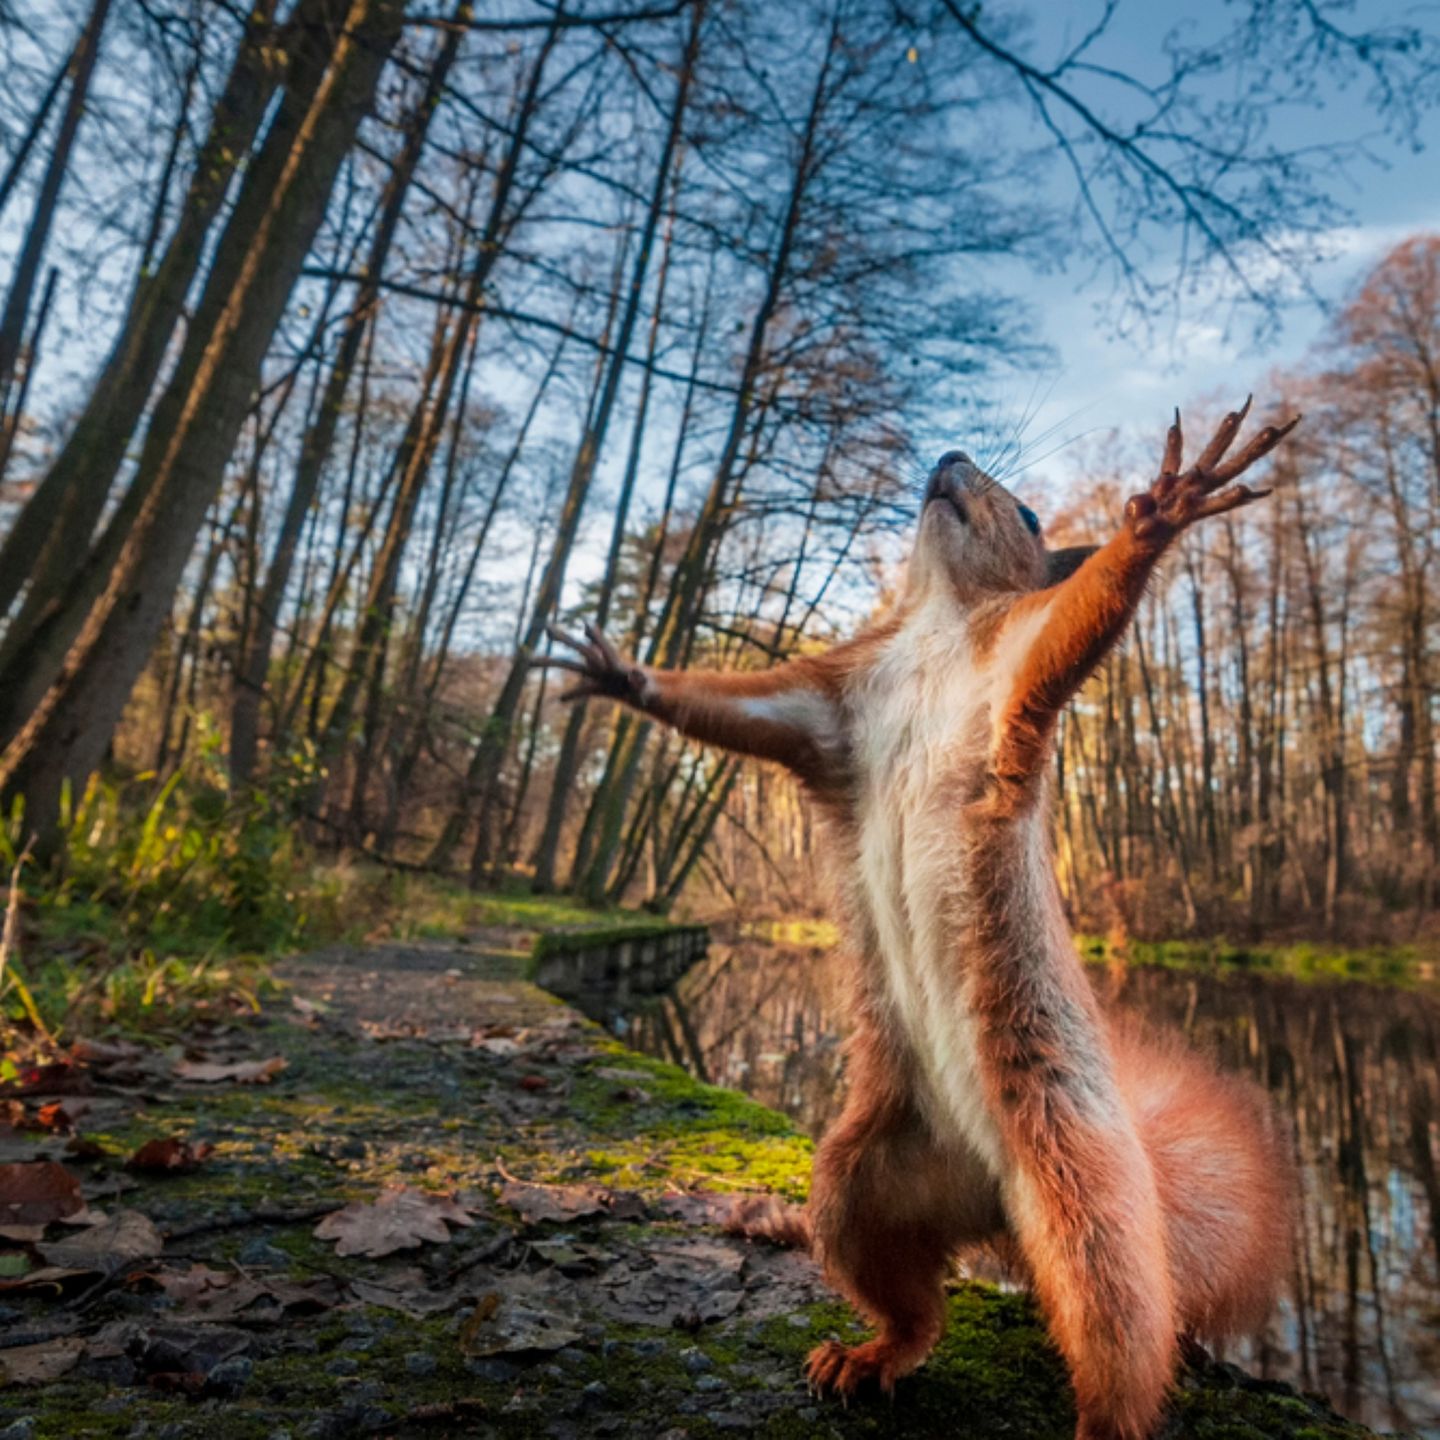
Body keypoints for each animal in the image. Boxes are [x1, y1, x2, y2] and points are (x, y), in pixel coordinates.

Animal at [541, 403, 1307, 1440]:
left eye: (1028, 513)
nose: (947, 456)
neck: (938, 622)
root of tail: (993, 1206)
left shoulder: (1016, 666)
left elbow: (1083, 617)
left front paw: (1162, 512)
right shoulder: (830, 709)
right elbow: (735, 711)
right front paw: (625, 676)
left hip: (1085, 1192)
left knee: (1119, 1333)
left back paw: (1099, 1414)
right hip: (861, 1180)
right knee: (914, 1304)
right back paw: (869, 1357)